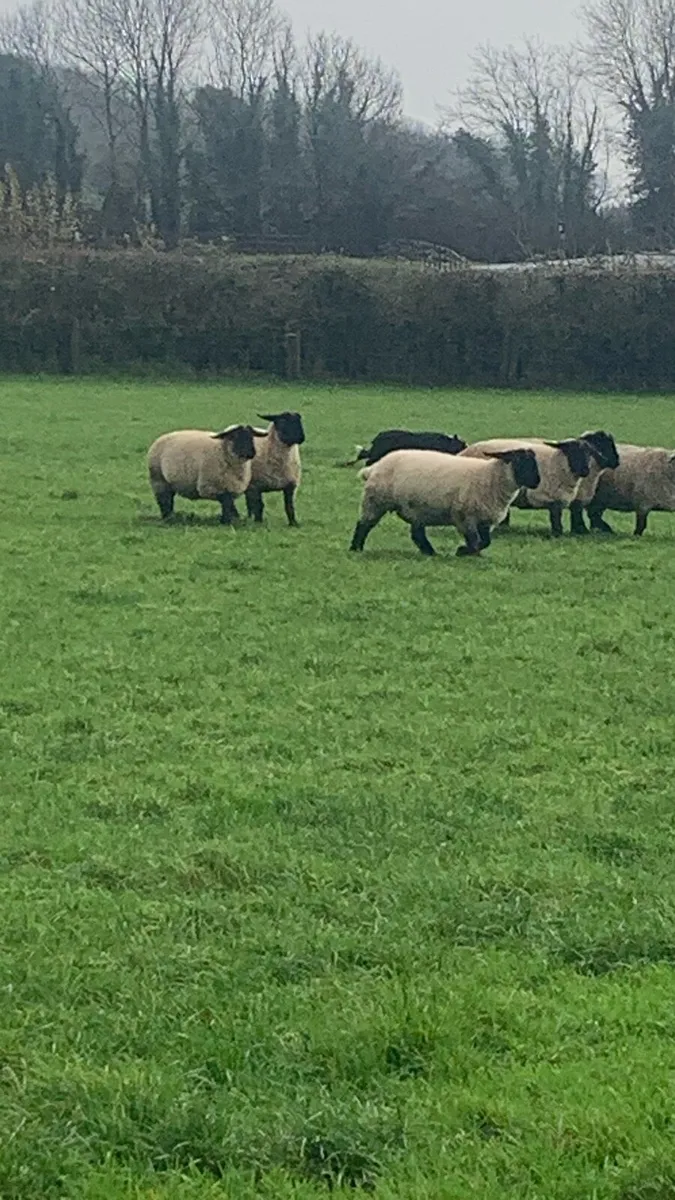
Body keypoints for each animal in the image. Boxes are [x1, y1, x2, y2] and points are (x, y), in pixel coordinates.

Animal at [349, 446, 540, 557]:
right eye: (520, 461)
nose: (537, 482)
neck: (490, 478)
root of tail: (373, 467)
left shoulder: (486, 520)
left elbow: (485, 542)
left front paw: (469, 553)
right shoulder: (465, 517)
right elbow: (475, 541)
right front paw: (463, 551)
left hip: (416, 509)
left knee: (417, 534)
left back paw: (430, 552)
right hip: (375, 501)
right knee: (363, 525)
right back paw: (355, 549)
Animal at [460, 437, 591, 536]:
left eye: (588, 453)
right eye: (573, 451)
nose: (586, 471)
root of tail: (464, 451)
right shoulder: (551, 498)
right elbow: (556, 519)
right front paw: (557, 534)